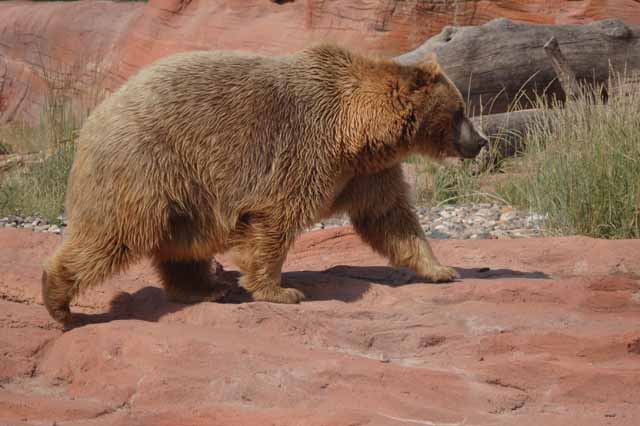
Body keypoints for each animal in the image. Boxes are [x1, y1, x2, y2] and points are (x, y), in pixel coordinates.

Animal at [41, 44, 488, 324]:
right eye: (459, 110)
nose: (481, 141)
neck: (356, 133)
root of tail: (91, 120)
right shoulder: (303, 151)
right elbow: (275, 221)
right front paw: (280, 290)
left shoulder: (365, 173)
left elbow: (391, 219)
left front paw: (441, 269)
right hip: (146, 165)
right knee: (116, 232)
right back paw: (58, 300)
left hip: (186, 194)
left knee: (179, 244)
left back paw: (203, 288)